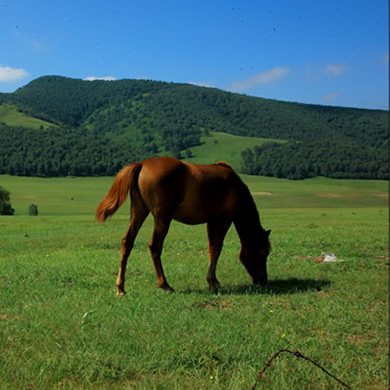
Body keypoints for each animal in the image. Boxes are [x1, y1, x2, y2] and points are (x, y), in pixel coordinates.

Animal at [96, 156, 270, 296]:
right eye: (264, 253)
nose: (263, 280)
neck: (234, 186)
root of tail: (143, 164)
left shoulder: (211, 221)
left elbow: (211, 248)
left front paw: (214, 280)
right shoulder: (224, 220)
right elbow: (217, 248)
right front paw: (212, 284)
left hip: (139, 212)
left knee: (127, 243)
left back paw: (121, 287)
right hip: (162, 219)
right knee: (155, 246)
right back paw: (165, 285)